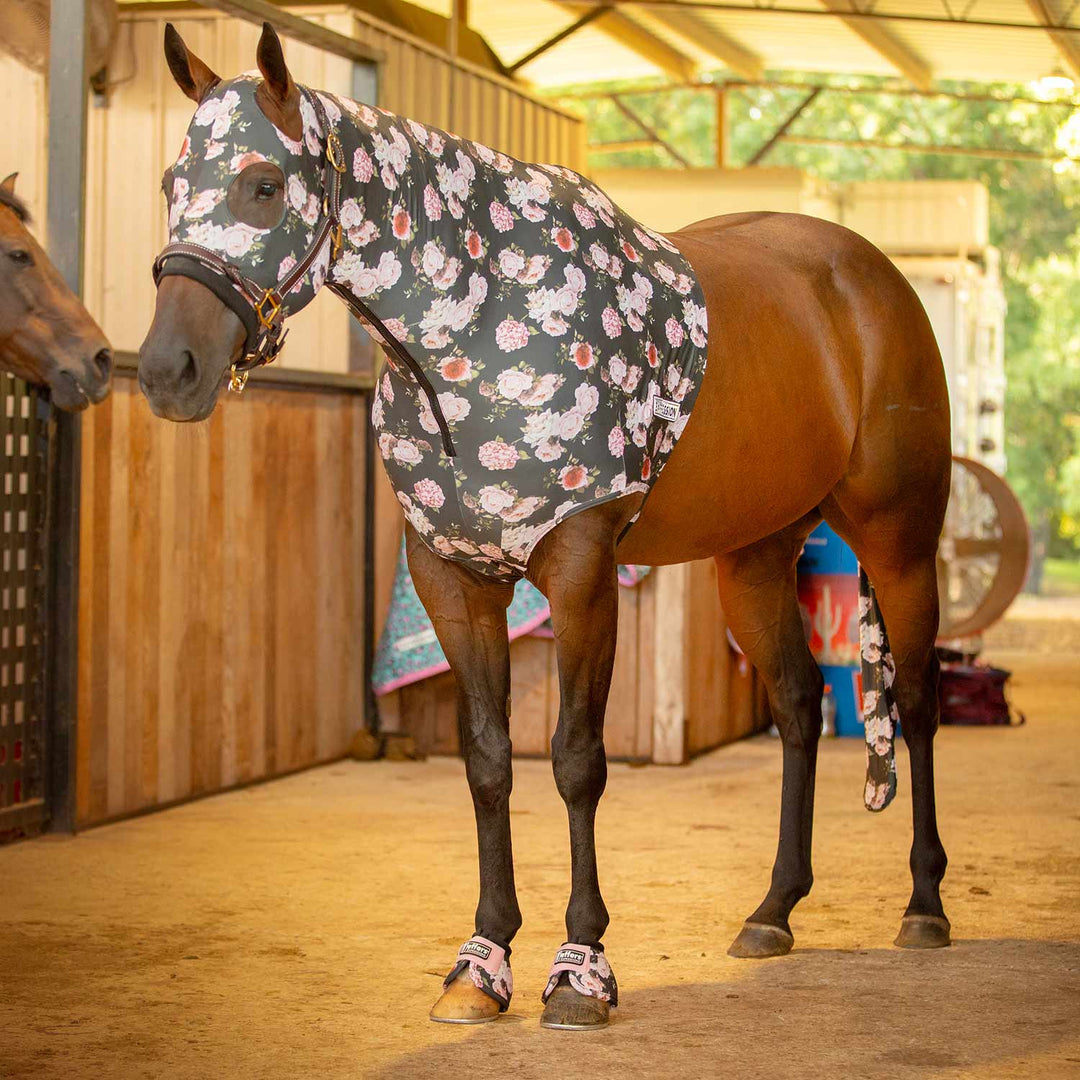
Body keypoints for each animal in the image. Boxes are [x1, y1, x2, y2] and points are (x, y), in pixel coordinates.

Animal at [138, 23, 952, 1031]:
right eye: (171, 185)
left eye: (261, 184)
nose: (167, 369)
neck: (480, 332)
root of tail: (872, 278)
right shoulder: (454, 580)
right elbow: (488, 760)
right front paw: (480, 963)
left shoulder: (579, 571)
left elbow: (575, 760)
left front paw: (581, 968)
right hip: (756, 558)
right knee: (801, 706)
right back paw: (773, 911)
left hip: (901, 541)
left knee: (918, 701)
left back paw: (924, 904)